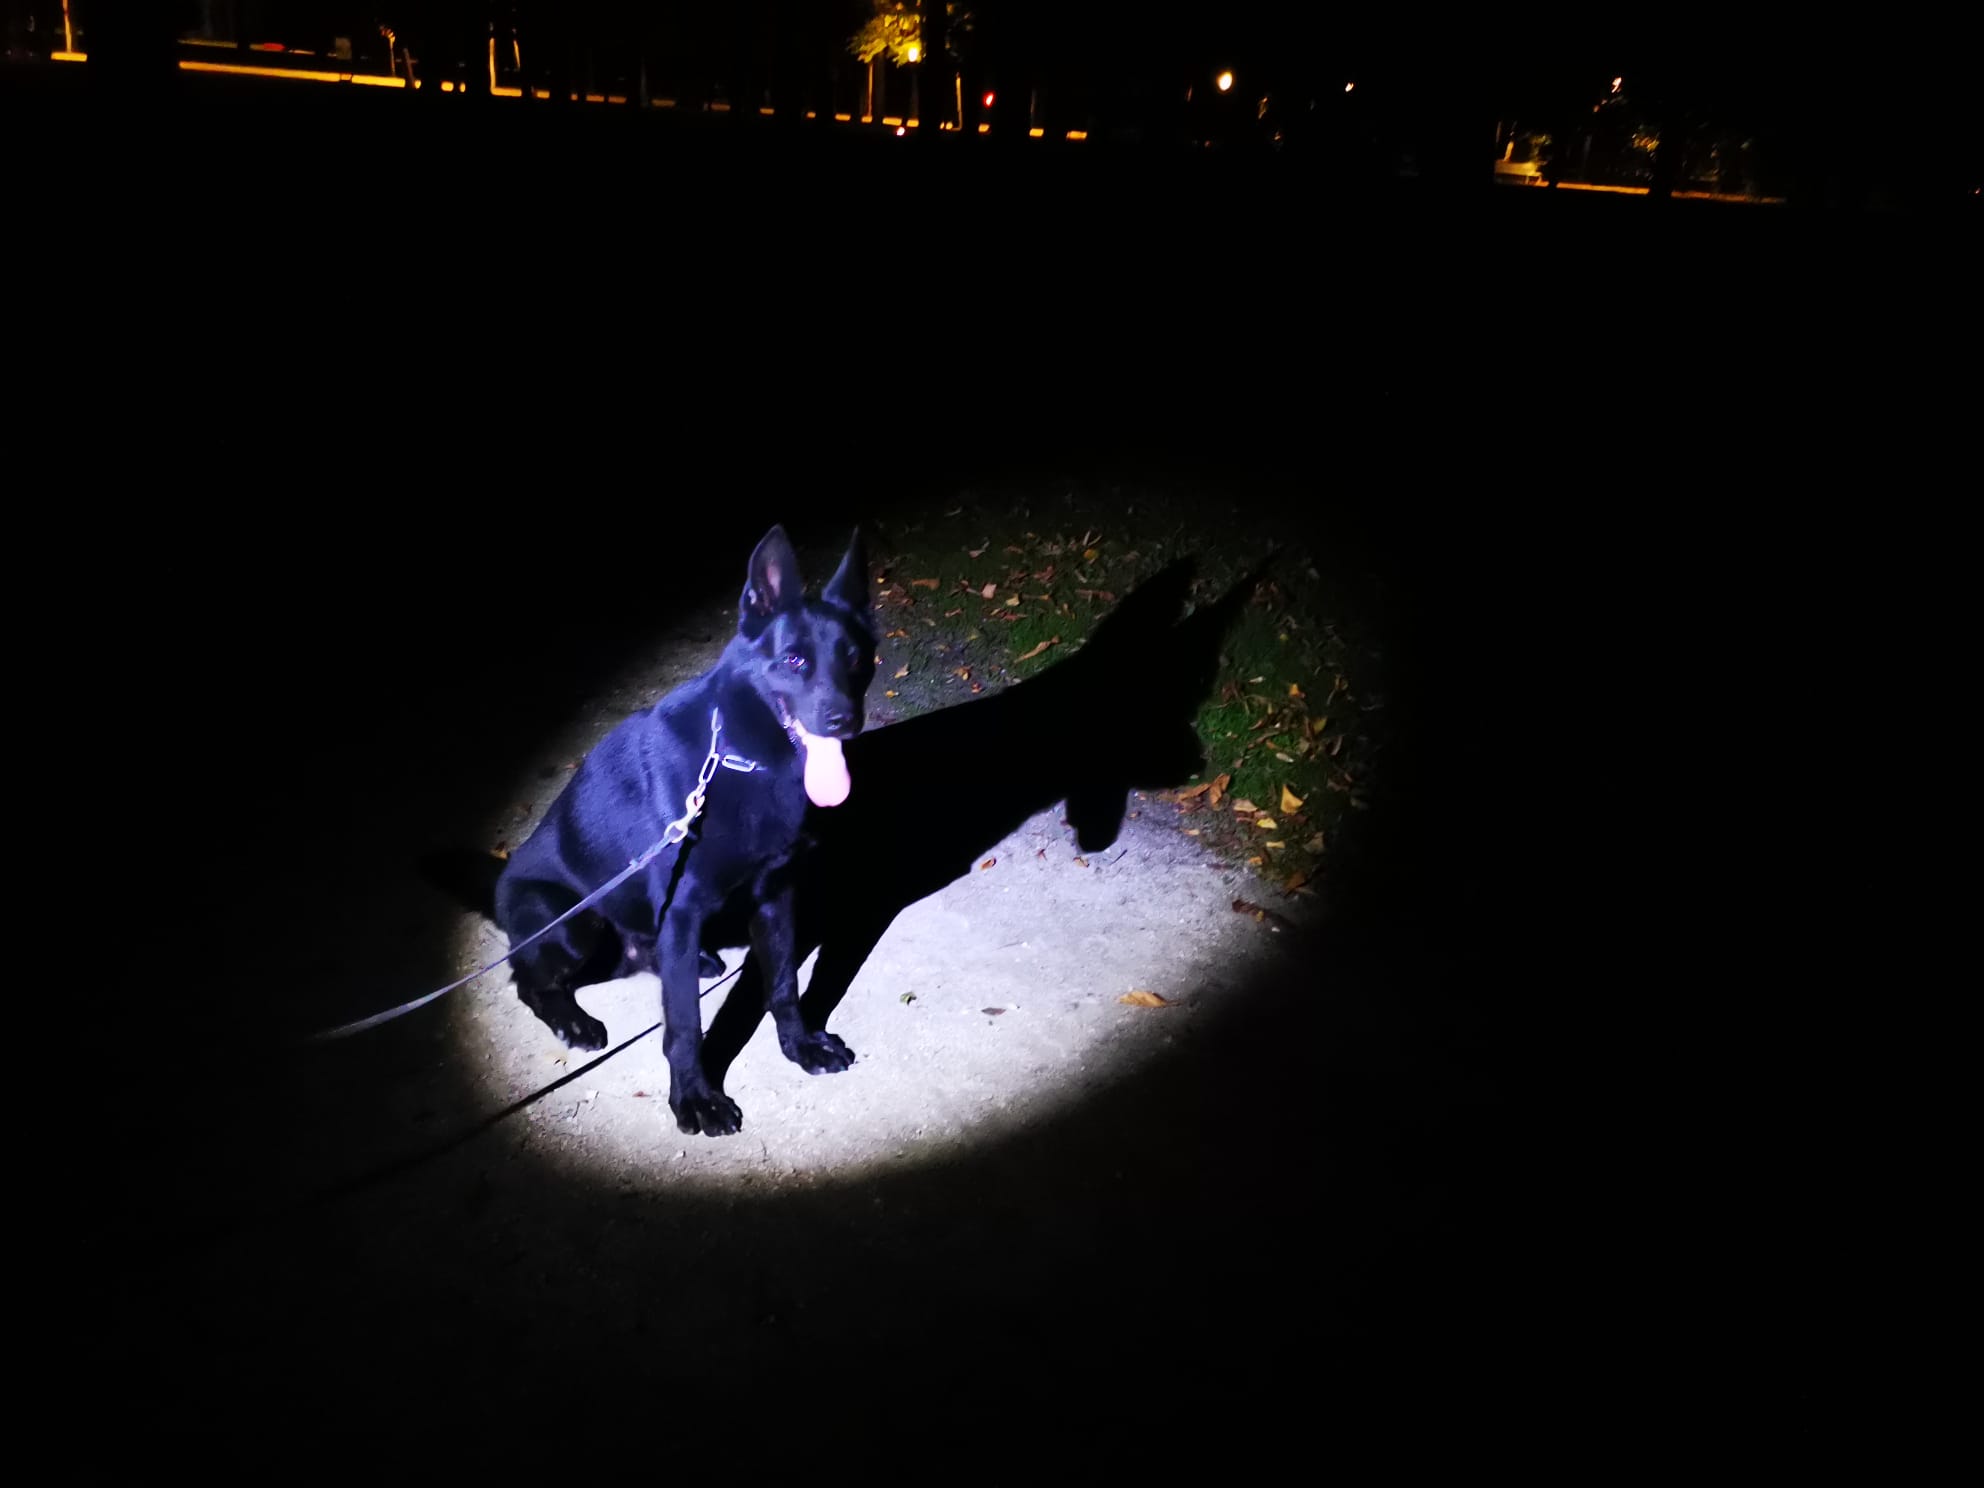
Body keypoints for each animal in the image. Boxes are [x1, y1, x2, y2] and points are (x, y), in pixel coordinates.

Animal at [493, 525, 875, 1136]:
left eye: (857, 659)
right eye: (794, 660)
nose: (845, 721)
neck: (740, 758)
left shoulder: (775, 896)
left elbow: (784, 984)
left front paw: (800, 1046)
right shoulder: (683, 911)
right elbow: (685, 1027)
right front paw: (695, 1098)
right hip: (572, 924)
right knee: (530, 980)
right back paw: (573, 1022)